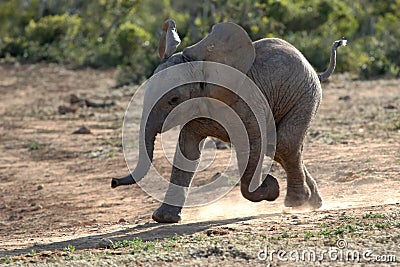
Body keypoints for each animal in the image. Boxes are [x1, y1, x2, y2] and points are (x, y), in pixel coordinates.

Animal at [111, 19, 346, 224]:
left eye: (173, 100)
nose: (113, 182)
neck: (203, 66)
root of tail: (314, 69)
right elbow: (187, 151)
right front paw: (163, 219)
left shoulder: (244, 102)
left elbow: (252, 143)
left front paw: (271, 188)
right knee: (279, 148)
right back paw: (313, 202)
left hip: (305, 95)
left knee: (284, 144)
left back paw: (295, 202)